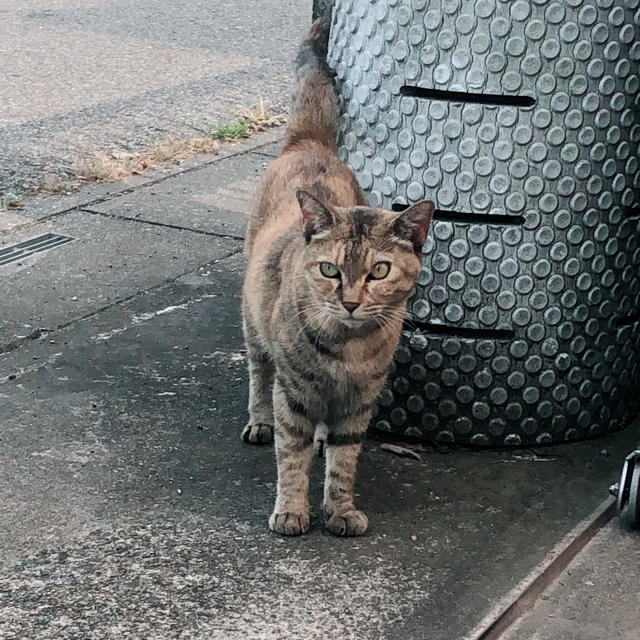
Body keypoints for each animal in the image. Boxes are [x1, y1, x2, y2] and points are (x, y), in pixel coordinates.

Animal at [241, 18, 436, 536]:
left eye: (379, 271)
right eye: (329, 270)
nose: (349, 302)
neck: (346, 351)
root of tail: (310, 141)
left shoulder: (359, 402)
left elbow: (345, 462)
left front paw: (340, 510)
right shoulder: (294, 393)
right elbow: (290, 456)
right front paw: (292, 510)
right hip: (253, 322)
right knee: (258, 373)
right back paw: (260, 419)